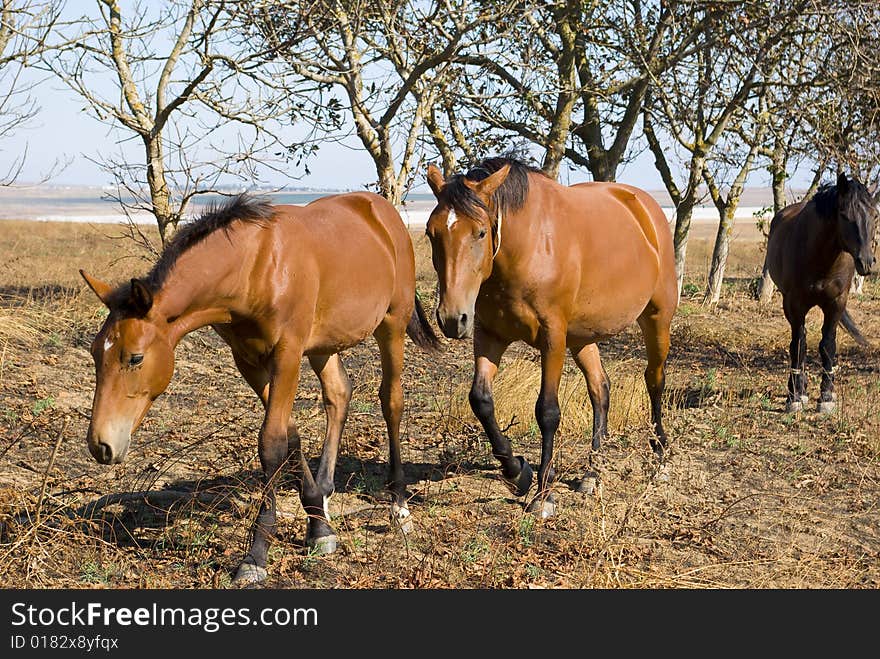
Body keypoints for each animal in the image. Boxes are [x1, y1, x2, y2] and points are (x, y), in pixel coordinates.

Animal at [79, 191, 440, 584]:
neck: (255, 267)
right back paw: (327, 496)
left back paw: (399, 507)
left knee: (392, 402)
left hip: (392, 324)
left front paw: (255, 556)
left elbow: (271, 443)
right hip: (324, 344)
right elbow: (290, 435)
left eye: (135, 358)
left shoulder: (287, 354)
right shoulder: (248, 360)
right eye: (96, 352)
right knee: (339, 394)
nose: (101, 445)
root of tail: (381, 210)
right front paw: (318, 526)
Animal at [426, 157, 680, 520]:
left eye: (481, 231)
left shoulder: (552, 339)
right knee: (600, 388)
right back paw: (592, 473)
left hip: (656, 318)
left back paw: (660, 457)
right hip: (583, 336)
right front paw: (517, 473)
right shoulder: (490, 335)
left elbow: (547, 412)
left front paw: (543, 495)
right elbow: (481, 401)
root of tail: (644, 207)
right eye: (431, 233)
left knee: (654, 380)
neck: (527, 246)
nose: (451, 318)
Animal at [764, 173, 872, 416]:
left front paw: (826, 397)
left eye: (874, 215)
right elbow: (799, 346)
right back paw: (800, 390)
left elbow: (827, 345)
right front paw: (794, 397)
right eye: (844, 215)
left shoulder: (836, 303)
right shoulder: (794, 305)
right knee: (800, 342)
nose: (866, 262)